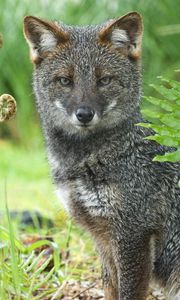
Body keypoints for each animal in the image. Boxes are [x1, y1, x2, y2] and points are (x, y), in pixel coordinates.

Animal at [23, 12, 179, 300]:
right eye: (65, 81)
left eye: (104, 80)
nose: (84, 114)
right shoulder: (103, 238)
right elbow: (110, 289)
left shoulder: (133, 235)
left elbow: (128, 293)